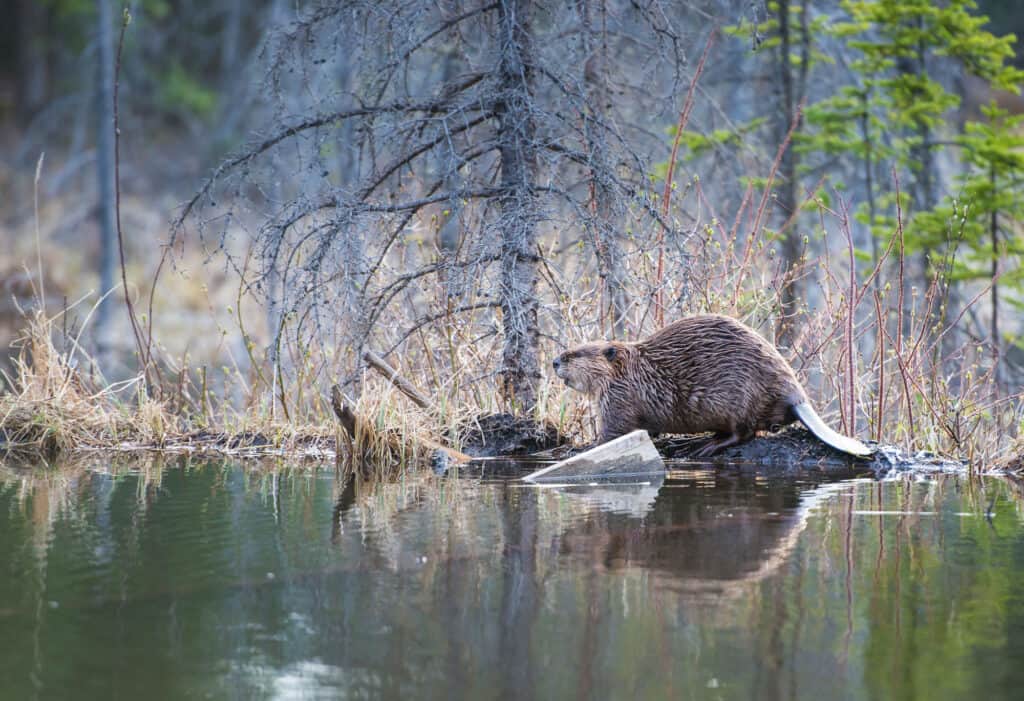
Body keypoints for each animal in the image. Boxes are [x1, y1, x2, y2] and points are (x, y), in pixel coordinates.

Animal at [552, 313, 872, 456]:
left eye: (572, 354)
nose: (554, 361)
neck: (634, 369)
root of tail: (797, 398)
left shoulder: (619, 396)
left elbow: (613, 432)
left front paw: (581, 448)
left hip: (738, 400)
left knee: (745, 433)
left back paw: (702, 447)